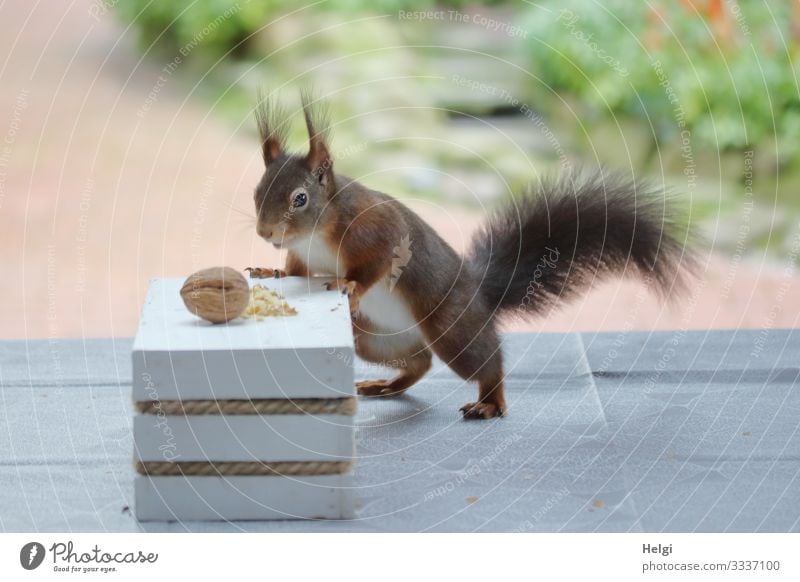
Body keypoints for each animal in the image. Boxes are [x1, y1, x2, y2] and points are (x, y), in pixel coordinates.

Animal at [247, 91, 696, 420]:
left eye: (300, 198)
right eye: (256, 191)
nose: (264, 233)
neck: (315, 235)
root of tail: (478, 289)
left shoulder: (378, 229)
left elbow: (378, 261)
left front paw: (351, 282)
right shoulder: (305, 258)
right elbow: (294, 269)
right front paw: (270, 270)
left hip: (452, 328)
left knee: (485, 361)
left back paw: (491, 402)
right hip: (376, 339)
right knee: (420, 363)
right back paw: (387, 384)